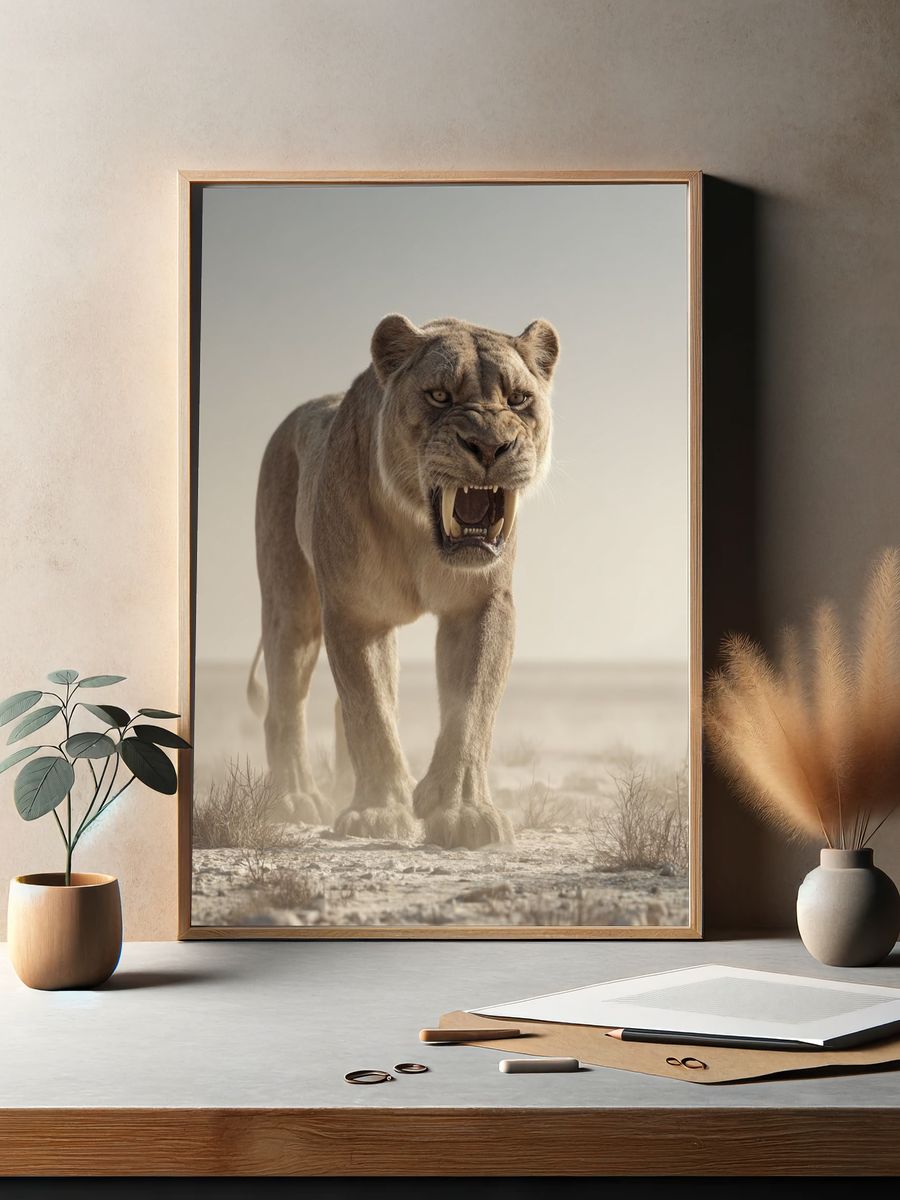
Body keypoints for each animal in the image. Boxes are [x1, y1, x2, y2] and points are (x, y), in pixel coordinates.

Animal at [248, 313, 559, 849]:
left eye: (519, 399)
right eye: (439, 396)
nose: (489, 446)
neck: (421, 533)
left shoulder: (481, 604)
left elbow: (470, 710)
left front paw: (462, 810)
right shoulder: (355, 612)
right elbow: (371, 713)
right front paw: (378, 811)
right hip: (292, 608)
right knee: (285, 703)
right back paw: (294, 799)